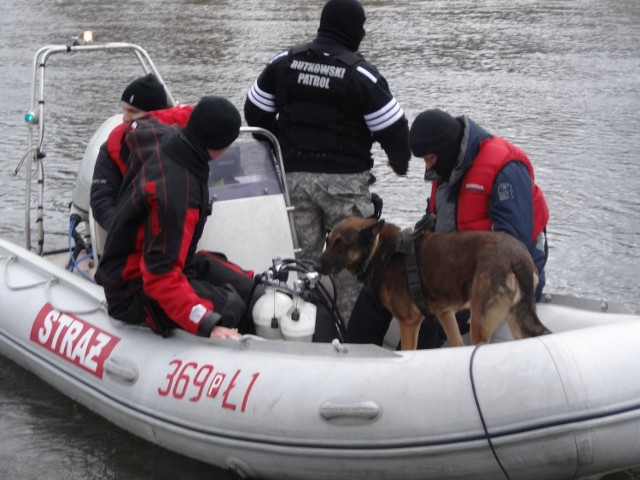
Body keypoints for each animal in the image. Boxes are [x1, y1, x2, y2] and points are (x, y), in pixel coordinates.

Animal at [316, 217, 552, 348]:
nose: (316, 266)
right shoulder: (444, 314)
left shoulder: (409, 323)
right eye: (327, 241)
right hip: (516, 320)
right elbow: (456, 344)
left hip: (480, 323)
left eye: (340, 245)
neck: (382, 251)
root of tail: (518, 257)